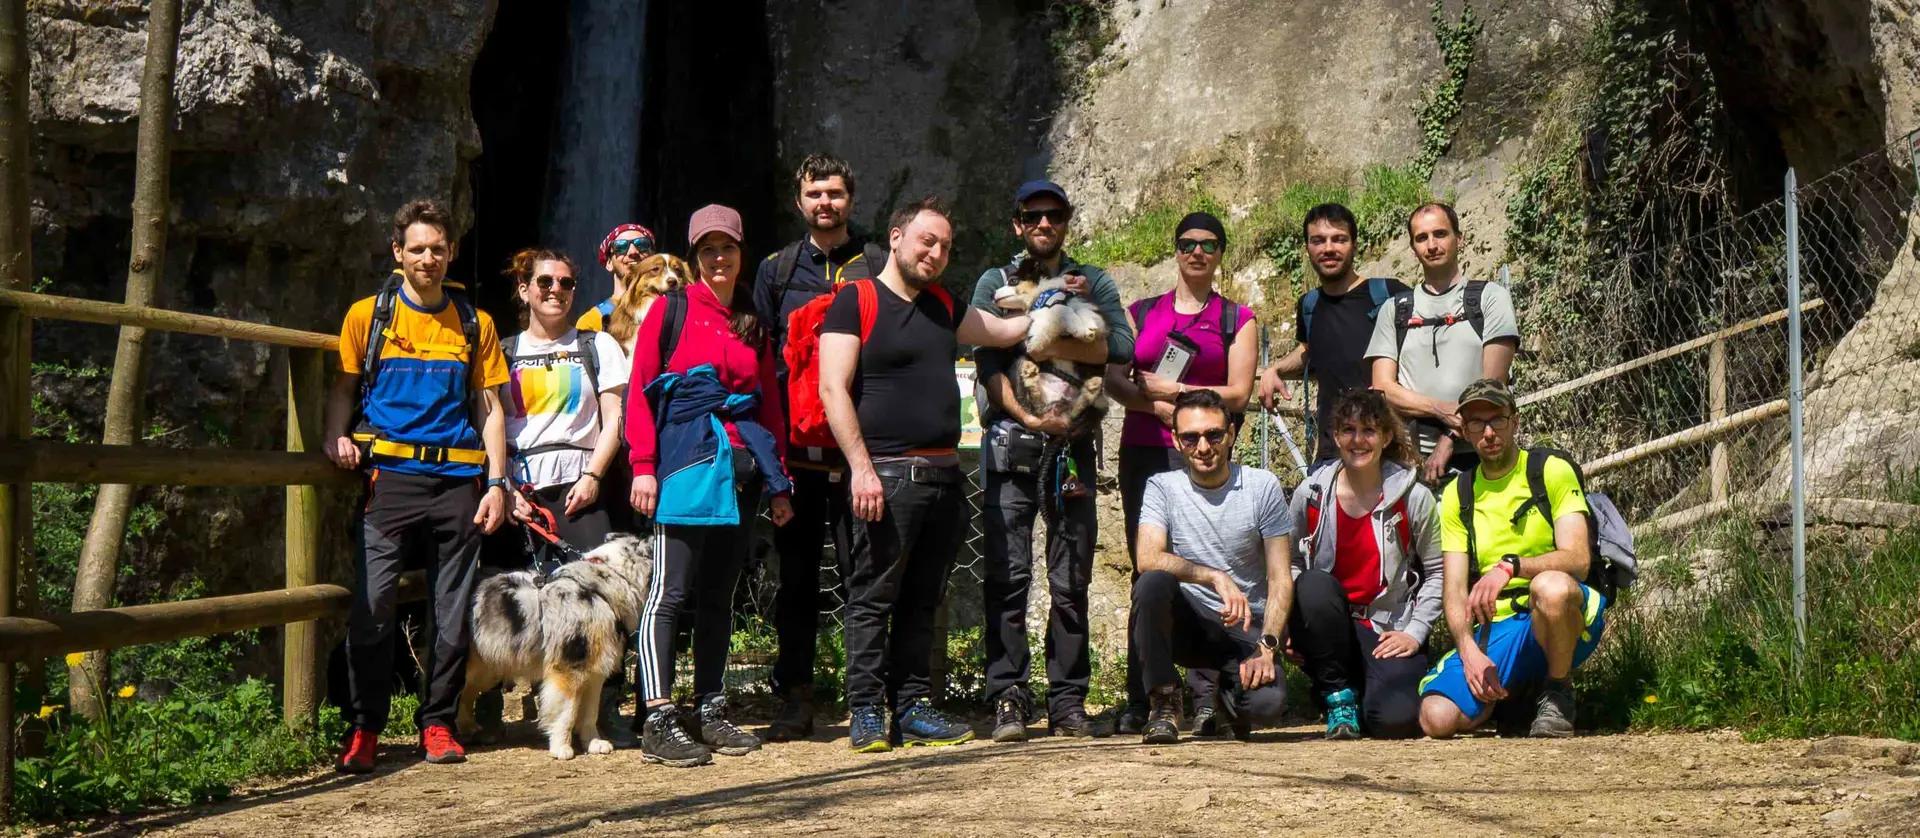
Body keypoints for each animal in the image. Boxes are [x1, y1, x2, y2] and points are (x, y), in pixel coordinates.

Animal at [456, 533, 653, 760]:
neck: (601, 588)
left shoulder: (594, 673)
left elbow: (590, 713)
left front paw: (593, 743)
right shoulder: (568, 670)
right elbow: (566, 713)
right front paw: (561, 748)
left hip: (487, 669)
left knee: (465, 695)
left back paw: (468, 728)